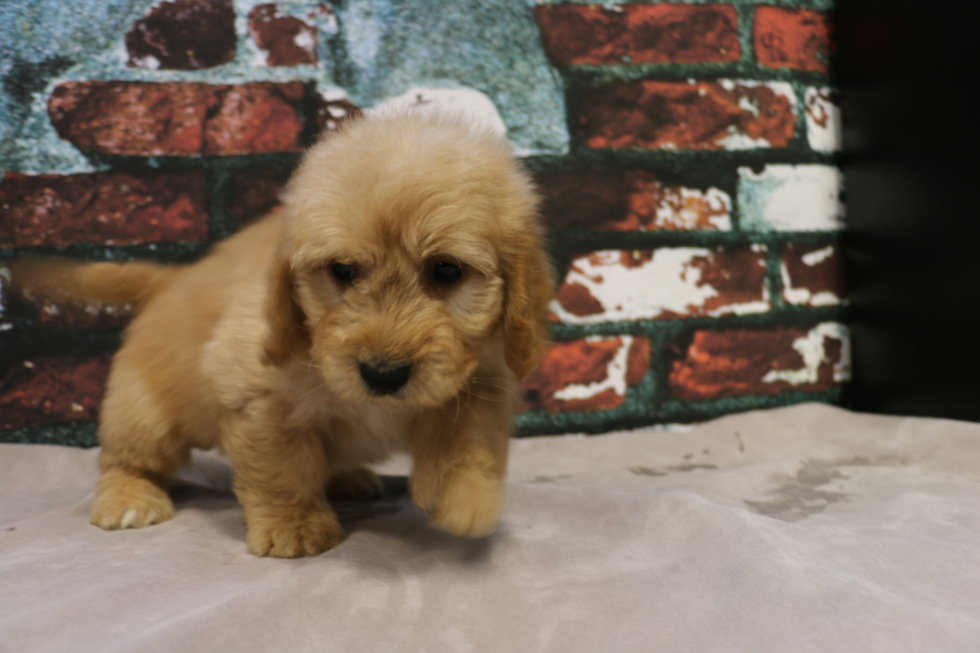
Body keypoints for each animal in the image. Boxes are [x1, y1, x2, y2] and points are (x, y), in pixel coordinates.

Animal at [7, 109, 556, 556]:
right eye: (342, 270)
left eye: (446, 270)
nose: (382, 374)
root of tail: (172, 279)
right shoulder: (256, 396)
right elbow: (281, 467)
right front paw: (295, 525)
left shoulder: (484, 375)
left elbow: (470, 439)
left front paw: (464, 496)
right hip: (143, 412)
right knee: (124, 457)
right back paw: (129, 496)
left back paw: (350, 477)